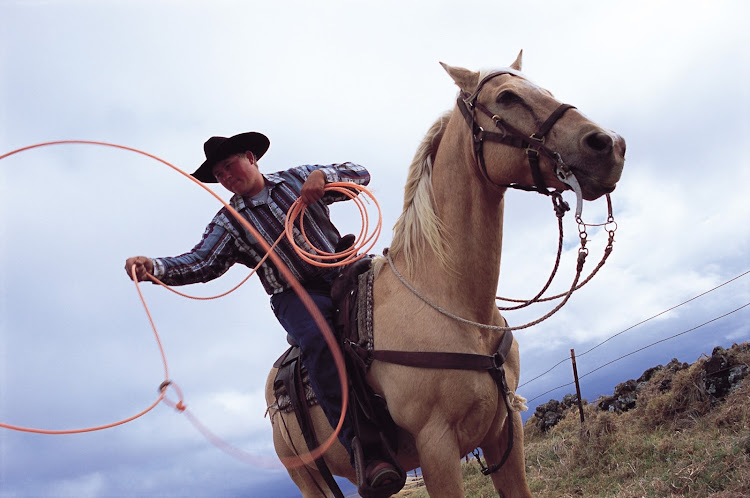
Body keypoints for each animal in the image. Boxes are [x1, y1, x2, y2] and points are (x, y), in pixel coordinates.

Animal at [266, 52, 628, 496]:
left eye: (545, 88)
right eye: (506, 97)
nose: (608, 144)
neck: (451, 300)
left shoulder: (505, 429)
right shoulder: (436, 446)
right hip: (309, 478)